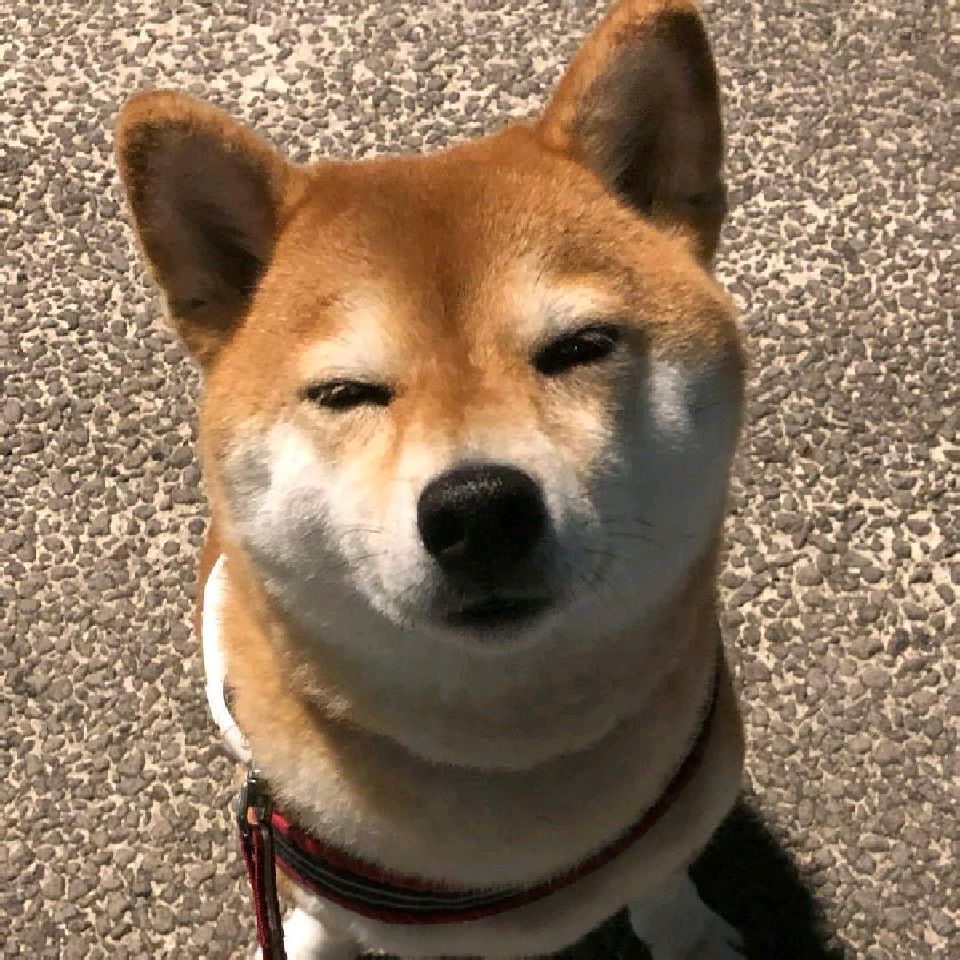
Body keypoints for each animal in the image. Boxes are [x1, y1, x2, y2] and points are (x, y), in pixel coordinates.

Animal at [116, 1, 747, 958]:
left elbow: (664, 879)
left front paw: (691, 934)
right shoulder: (309, 889)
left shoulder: (685, 811)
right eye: (347, 393)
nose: (480, 511)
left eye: (582, 347)